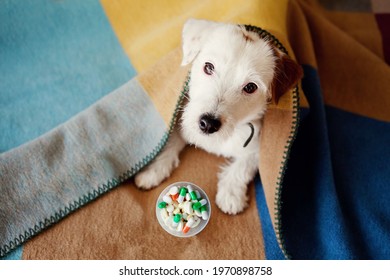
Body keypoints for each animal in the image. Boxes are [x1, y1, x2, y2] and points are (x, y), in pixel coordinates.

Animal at [136, 18, 304, 214]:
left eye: (250, 87)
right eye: (208, 67)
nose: (208, 123)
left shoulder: (257, 148)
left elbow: (242, 167)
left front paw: (230, 195)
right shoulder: (180, 124)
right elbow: (168, 144)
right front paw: (152, 172)